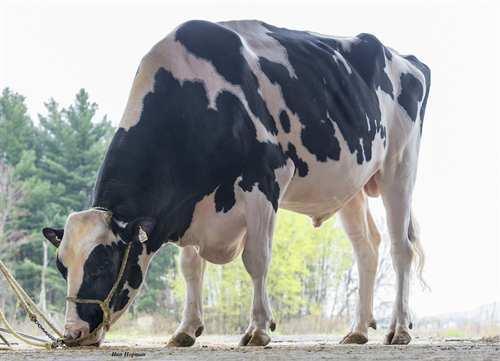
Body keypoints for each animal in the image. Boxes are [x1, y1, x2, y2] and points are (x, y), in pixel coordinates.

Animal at [43, 19, 430, 346]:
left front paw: (258, 328)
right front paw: (186, 329)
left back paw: (399, 329)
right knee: (366, 248)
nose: (72, 334)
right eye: (62, 266)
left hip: (399, 166)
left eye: (102, 264)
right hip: (349, 185)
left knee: (401, 249)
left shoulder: (265, 182)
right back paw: (358, 330)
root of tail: (406, 59)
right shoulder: (188, 204)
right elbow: (190, 268)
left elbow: (256, 259)